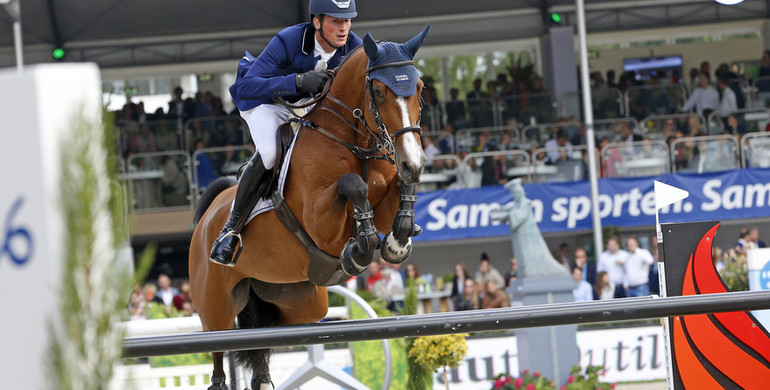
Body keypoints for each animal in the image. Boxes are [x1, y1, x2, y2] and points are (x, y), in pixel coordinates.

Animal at [186, 25, 426, 388]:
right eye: (379, 92)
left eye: (419, 88)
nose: (413, 162)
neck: (354, 143)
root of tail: (209, 216)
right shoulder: (319, 221)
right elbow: (352, 185)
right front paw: (360, 249)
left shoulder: (386, 196)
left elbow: (398, 195)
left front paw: (397, 242)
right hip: (216, 308)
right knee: (217, 360)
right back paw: (226, 243)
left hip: (296, 302)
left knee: (262, 344)